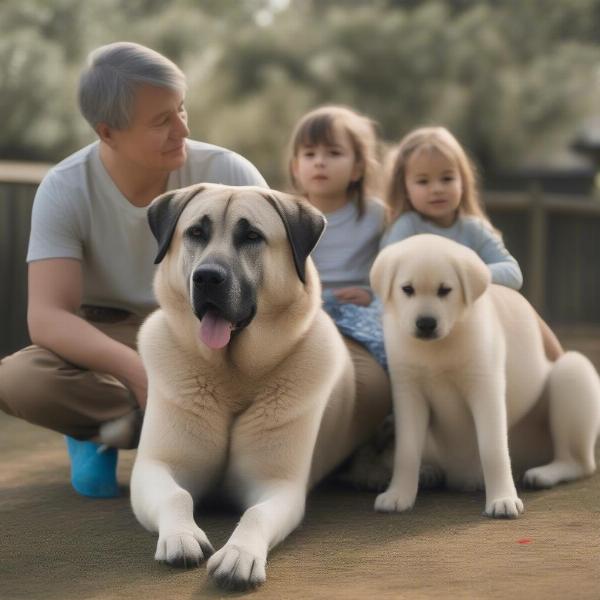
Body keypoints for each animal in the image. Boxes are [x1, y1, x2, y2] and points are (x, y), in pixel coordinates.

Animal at [129, 184, 386, 592]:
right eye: (196, 232)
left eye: (251, 236)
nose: (207, 278)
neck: (234, 376)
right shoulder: (156, 466)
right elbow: (177, 495)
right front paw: (181, 536)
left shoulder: (277, 484)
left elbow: (255, 514)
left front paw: (239, 555)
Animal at [370, 234, 600, 520]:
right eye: (407, 289)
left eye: (445, 290)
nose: (425, 324)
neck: (439, 347)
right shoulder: (408, 391)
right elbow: (406, 450)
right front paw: (398, 494)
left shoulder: (486, 386)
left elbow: (493, 448)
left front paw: (503, 499)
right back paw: (428, 472)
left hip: (571, 372)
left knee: (579, 461)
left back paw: (543, 473)